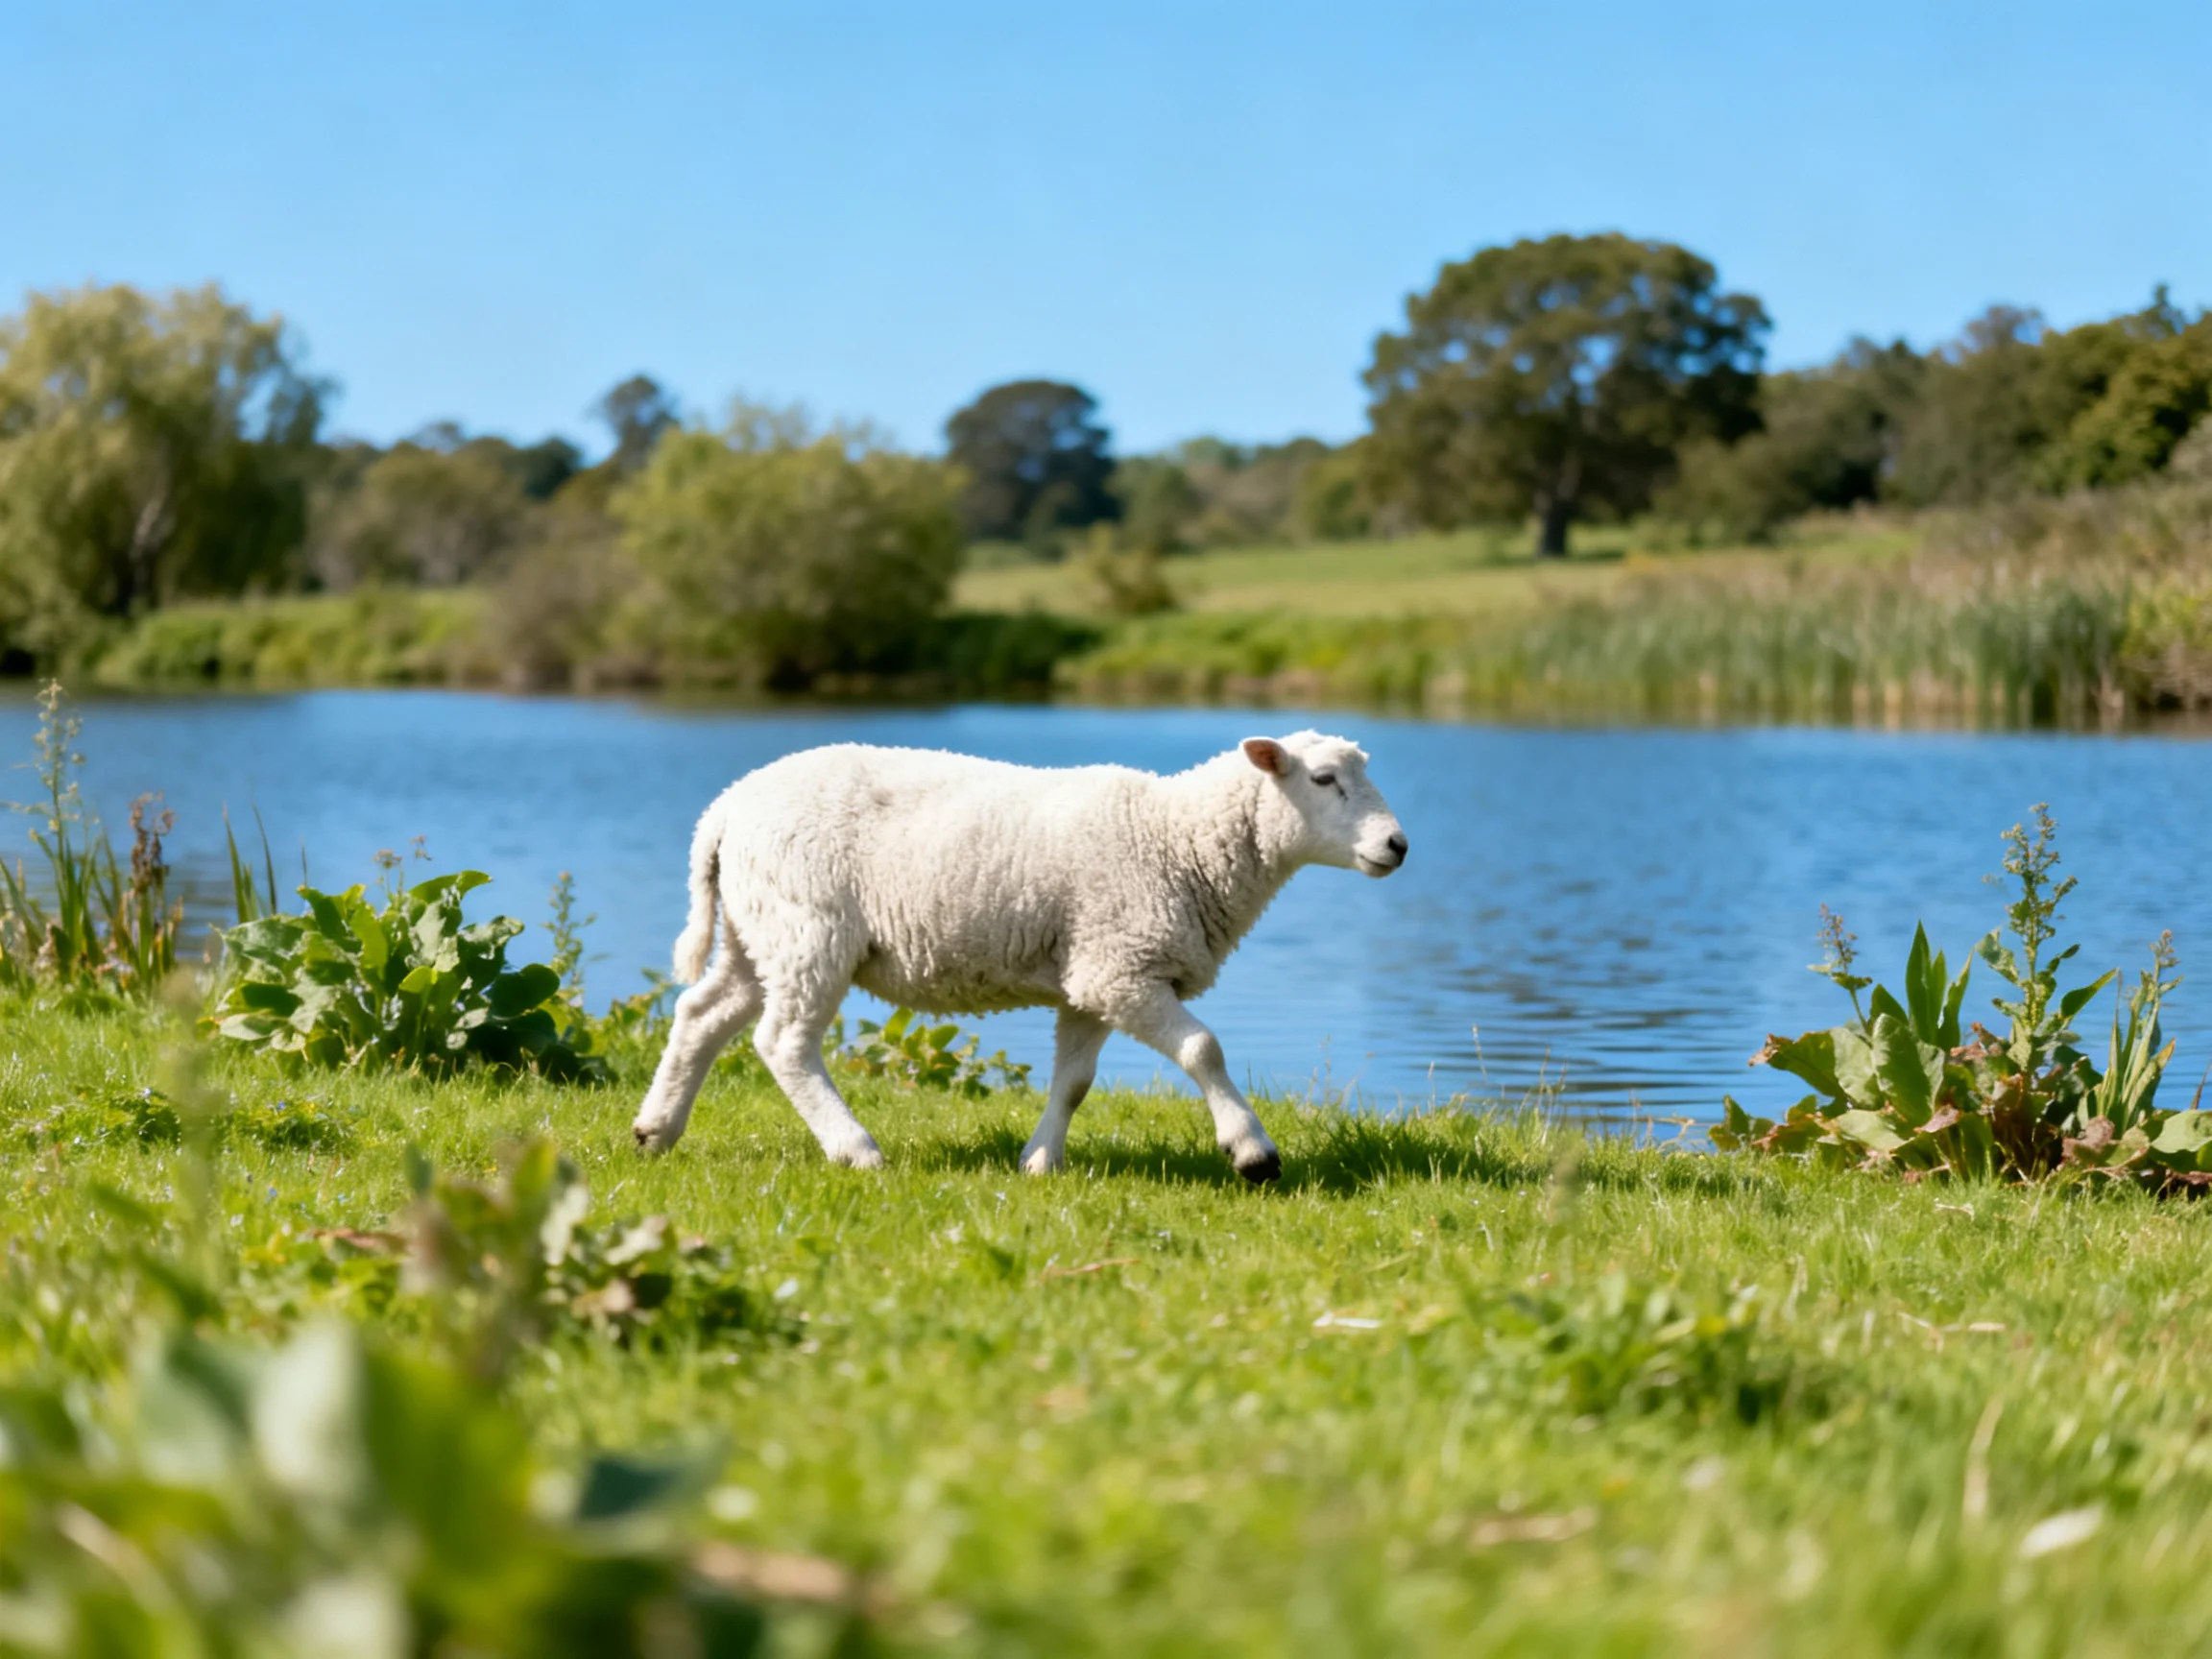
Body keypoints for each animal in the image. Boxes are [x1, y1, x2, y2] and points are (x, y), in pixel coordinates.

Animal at [630, 730, 1407, 1181]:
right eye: (1324, 780)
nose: (1397, 845)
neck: (1178, 837)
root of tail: (724, 810)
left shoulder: (1091, 975)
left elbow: (1074, 1084)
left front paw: (1039, 1162)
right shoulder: (1123, 966)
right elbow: (1203, 1050)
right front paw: (1252, 1151)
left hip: (759, 930)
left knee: (701, 1015)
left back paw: (655, 1130)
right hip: (809, 927)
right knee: (783, 1042)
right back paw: (856, 1150)